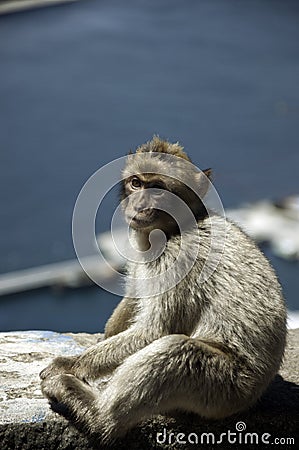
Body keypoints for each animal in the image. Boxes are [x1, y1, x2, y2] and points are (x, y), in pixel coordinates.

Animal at [40, 137, 288, 446]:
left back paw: (95, 414)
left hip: (227, 390)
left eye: (157, 189)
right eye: (136, 183)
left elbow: (155, 331)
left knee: (177, 350)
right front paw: (105, 335)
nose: (138, 204)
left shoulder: (178, 259)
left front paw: (68, 364)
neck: (171, 230)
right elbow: (134, 297)